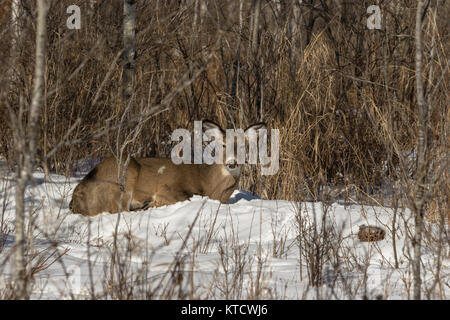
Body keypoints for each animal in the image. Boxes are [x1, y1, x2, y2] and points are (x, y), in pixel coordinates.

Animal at [69, 120, 268, 218]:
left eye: (243, 145)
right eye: (224, 144)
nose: (232, 163)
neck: (212, 188)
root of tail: (75, 200)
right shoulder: (168, 188)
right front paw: (153, 203)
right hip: (124, 175)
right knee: (118, 209)